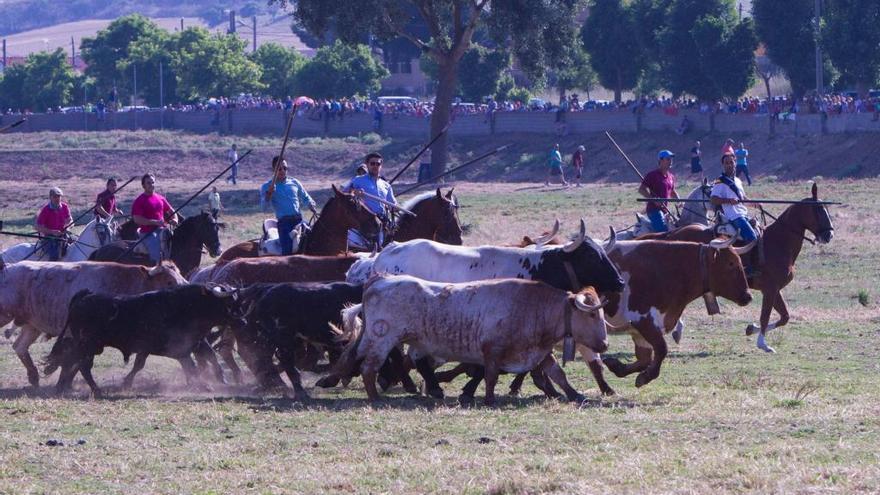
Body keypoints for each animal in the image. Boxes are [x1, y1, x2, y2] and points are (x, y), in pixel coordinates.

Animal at [0, 260, 186, 388]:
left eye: (181, 276)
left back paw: (34, 377)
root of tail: (8, 268)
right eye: (169, 281)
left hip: (32, 325)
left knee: (20, 346)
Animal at [334, 276, 608, 406]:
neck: (532, 306)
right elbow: (490, 375)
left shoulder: (539, 351)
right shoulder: (493, 350)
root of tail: (379, 280)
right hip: (382, 338)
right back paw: (375, 397)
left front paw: (575, 395)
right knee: (369, 367)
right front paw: (488, 399)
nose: (604, 345)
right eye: (592, 314)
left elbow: (557, 373)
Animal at [632, 183, 832, 352]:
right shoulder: (770, 289)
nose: (829, 234)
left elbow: (784, 317)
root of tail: (672, 233)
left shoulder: (774, 289)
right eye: (818, 210)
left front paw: (751, 329)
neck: (778, 242)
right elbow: (766, 315)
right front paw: (762, 344)